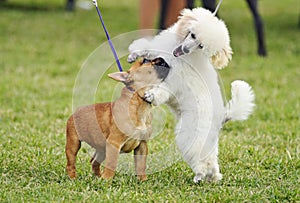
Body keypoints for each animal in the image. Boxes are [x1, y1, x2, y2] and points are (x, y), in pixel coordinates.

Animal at [127, 7, 255, 182]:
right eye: (193, 35)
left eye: (201, 46)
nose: (185, 50)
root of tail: (223, 116)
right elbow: (147, 48)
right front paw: (134, 54)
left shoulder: (173, 80)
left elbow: (162, 89)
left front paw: (150, 95)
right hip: (208, 140)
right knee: (212, 162)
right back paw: (213, 177)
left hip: (191, 134)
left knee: (200, 158)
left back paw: (200, 176)